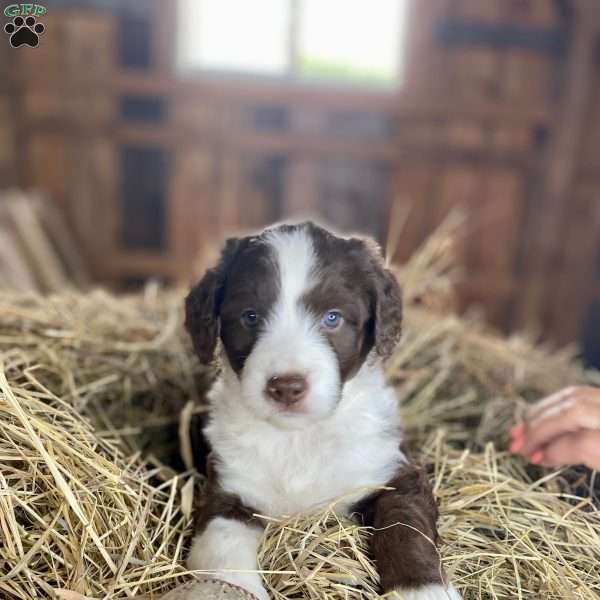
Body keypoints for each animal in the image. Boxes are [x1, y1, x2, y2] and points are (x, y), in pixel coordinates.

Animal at [185, 221, 462, 600]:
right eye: (250, 317)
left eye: (333, 318)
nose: (286, 386)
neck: (299, 437)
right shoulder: (229, 485)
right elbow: (221, 540)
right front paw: (232, 585)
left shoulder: (392, 471)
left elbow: (406, 529)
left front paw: (422, 590)